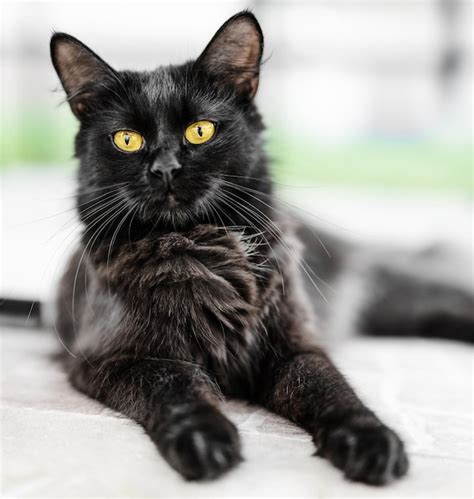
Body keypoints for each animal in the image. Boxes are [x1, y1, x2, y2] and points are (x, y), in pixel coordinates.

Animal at [47, 11, 470, 486]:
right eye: (127, 140)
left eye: (200, 130)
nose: (166, 169)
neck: (201, 248)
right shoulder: (115, 357)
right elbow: (176, 389)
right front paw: (203, 439)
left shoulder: (294, 346)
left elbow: (332, 390)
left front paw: (370, 440)